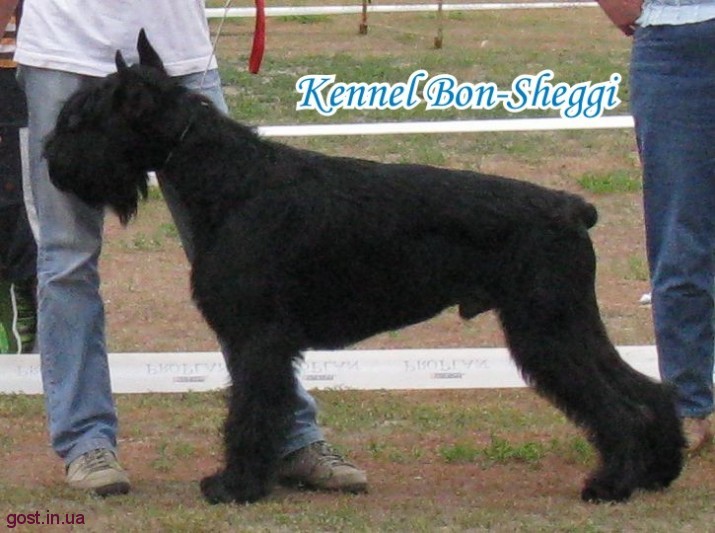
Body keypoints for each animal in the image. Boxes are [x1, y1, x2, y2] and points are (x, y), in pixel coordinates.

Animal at [44, 31, 684, 505]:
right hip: (567, 322)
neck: (229, 179)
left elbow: (251, 411)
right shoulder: (260, 339)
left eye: (82, 119)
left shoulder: (258, 337)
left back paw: (611, 484)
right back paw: (660, 470)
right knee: (646, 389)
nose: (51, 159)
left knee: (616, 405)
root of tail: (570, 207)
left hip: (545, 328)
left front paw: (236, 485)